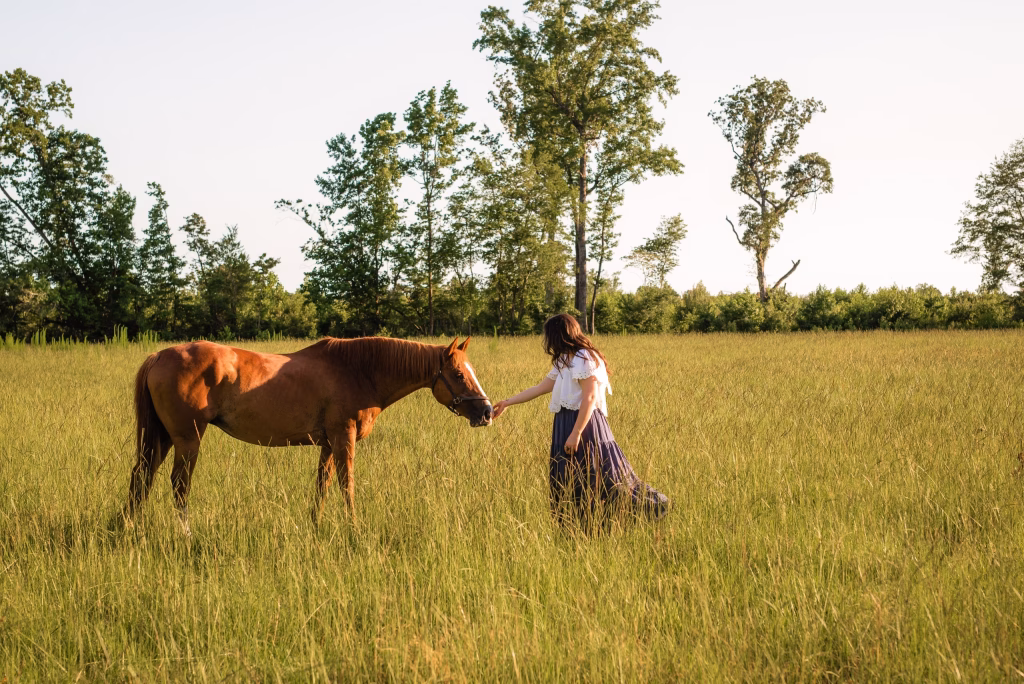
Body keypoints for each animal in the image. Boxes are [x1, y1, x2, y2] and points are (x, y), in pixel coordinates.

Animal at [123, 336, 491, 533]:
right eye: (459, 374)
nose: (487, 412)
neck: (359, 370)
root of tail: (159, 355)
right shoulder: (344, 439)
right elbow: (346, 485)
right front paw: (354, 528)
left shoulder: (327, 443)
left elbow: (322, 486)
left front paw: (315, 526)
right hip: (188, 439)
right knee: (178, 484)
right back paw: (185, 533)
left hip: (163, 438)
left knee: (142, 476)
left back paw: (130, 526)